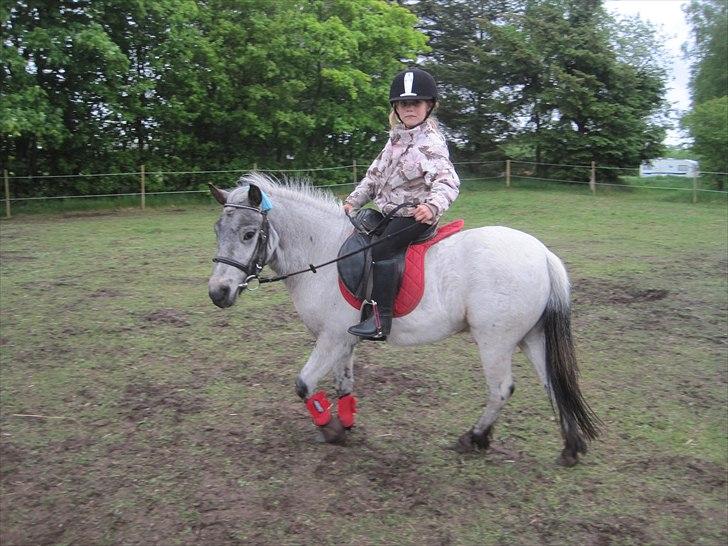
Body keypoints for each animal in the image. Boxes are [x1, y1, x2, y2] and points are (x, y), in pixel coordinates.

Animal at [207, 174, 601, 466]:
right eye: (217, 232)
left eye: (248, 234)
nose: (218, 293)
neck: (325, 252)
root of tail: (543, 254)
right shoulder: (344, 340)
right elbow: (344, 386)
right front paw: (345, 426)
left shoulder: (331, 338)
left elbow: (304, 384)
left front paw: (330, 430)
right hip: (531, 336)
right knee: (552, 383)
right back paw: (570, 447)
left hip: (496, 340)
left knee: (501, 389)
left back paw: (474, 438)